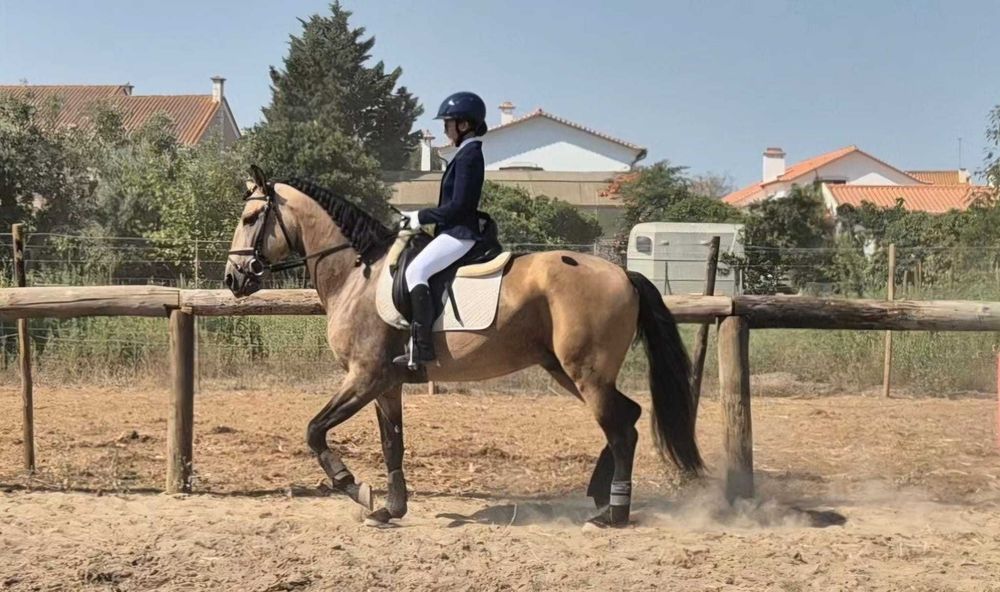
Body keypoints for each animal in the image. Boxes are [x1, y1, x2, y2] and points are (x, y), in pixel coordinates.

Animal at [224, 166, 702, 528]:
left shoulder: (365, 375)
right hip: (568, 371)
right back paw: (601, 495)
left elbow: (314, 430)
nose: (233, 278)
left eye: (250, 219)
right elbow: (391, 443)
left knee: (621, 429)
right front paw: (389, 509)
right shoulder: (386, 383)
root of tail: (624, 275)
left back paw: (612, 513)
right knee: (628, 416)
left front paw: (354, 487)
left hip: (586, 373)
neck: (357, 274)